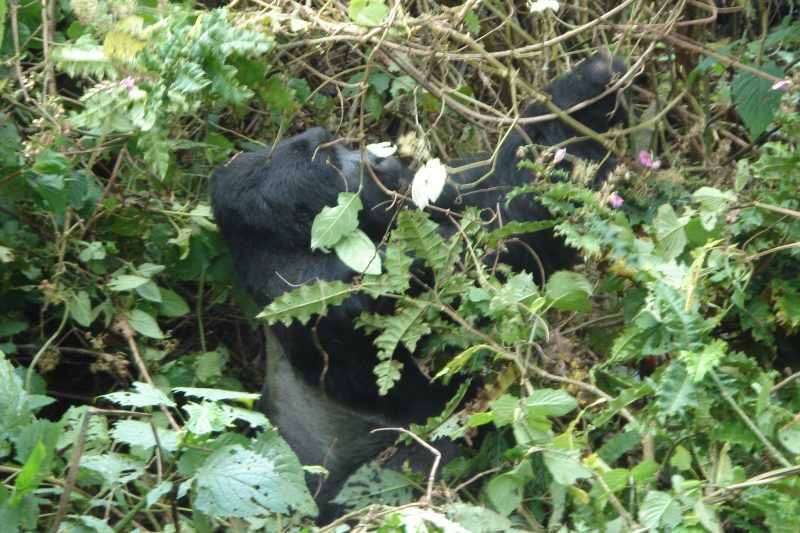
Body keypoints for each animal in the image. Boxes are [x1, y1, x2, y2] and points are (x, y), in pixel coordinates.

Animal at [214, 52, 632, 512]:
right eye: (337, 162)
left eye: (338, 146)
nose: (375, 157)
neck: (281, 248)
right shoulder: (346, 284)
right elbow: (506, 230)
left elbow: (485, 192)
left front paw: (588, 88)